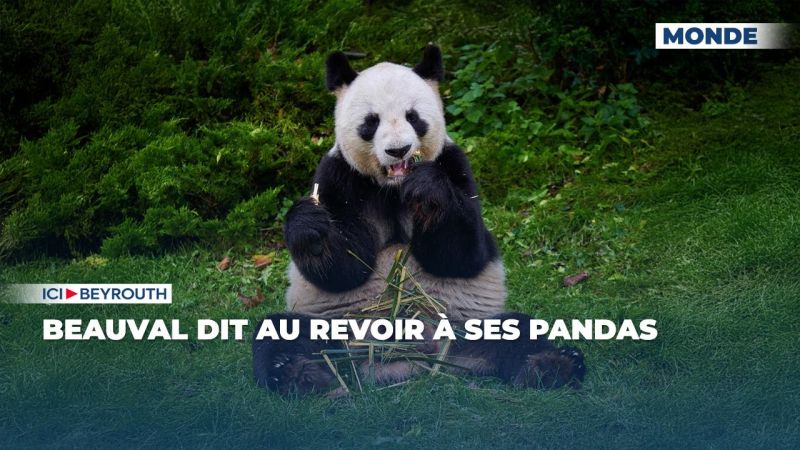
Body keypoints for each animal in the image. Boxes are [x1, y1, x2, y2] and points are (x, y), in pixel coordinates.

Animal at [253, 45, 586, 395]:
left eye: (413, 117)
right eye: (371, 122)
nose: (399, 150)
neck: (393, 187)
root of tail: (408, 363)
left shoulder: (454, 164)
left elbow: (462, 255)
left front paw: (428, 192)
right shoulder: (340, 177)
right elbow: (344, 269)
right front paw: (312, 230)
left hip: (464, 329)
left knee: (517, 330)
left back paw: (552, 365)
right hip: (338, 333)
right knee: (282, 332)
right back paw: (297, 373)